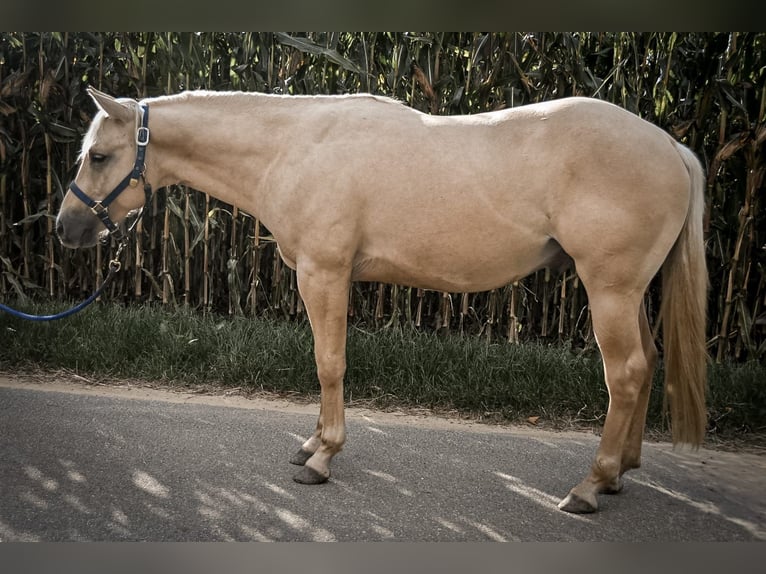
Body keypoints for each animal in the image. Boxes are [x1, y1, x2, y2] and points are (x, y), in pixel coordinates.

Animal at [57, 88, 712, 516]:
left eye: (99, 156)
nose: (65, 229)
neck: (294, 146)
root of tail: (670, 147)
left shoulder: (323, 274)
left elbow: (329, 363)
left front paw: (323, 457)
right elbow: (324, 364)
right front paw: (312, 444)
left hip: (610, 289)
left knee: (625, 373)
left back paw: (590, 486)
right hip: (629, 294)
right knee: (647, 363)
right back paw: (621, 472)